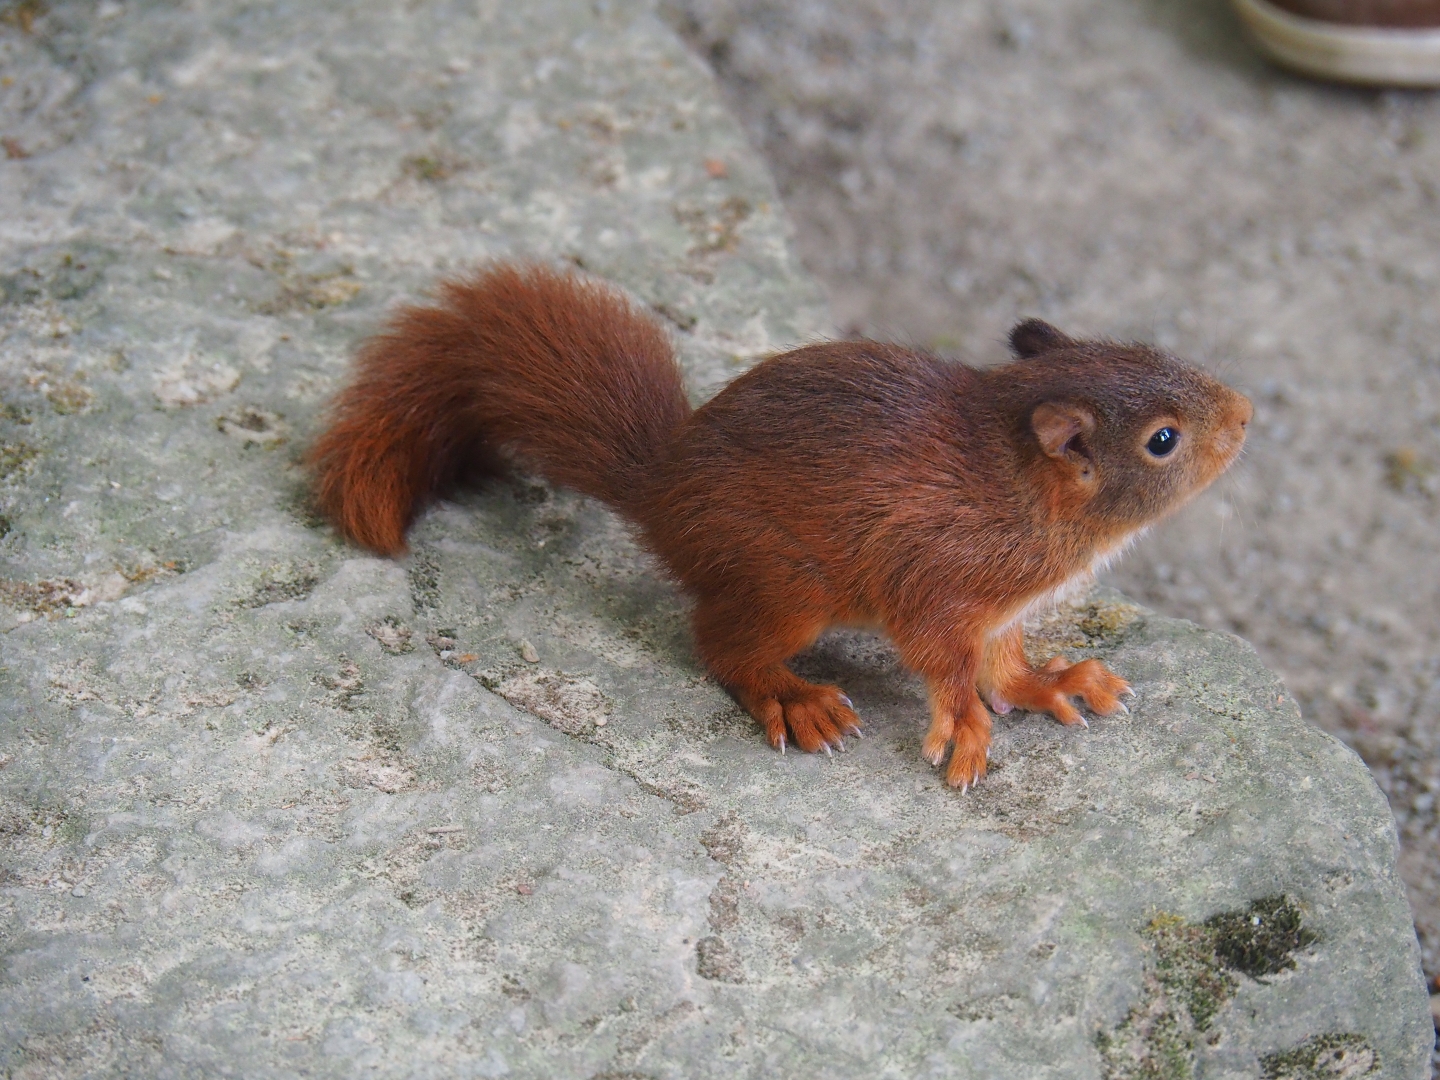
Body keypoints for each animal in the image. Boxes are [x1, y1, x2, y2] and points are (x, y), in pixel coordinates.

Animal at [310, 262, 1251, 789]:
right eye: (1163, 440)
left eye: (1143, 346)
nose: (1246, 414)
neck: (1016, 488)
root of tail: (661, 490)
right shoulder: (937, 576)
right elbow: (947, 664)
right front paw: (964, 728)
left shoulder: (1000, 610)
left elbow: (1004, 664)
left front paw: (1054, 683)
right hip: (787, 585)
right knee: (720, 644)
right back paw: (796, 700)